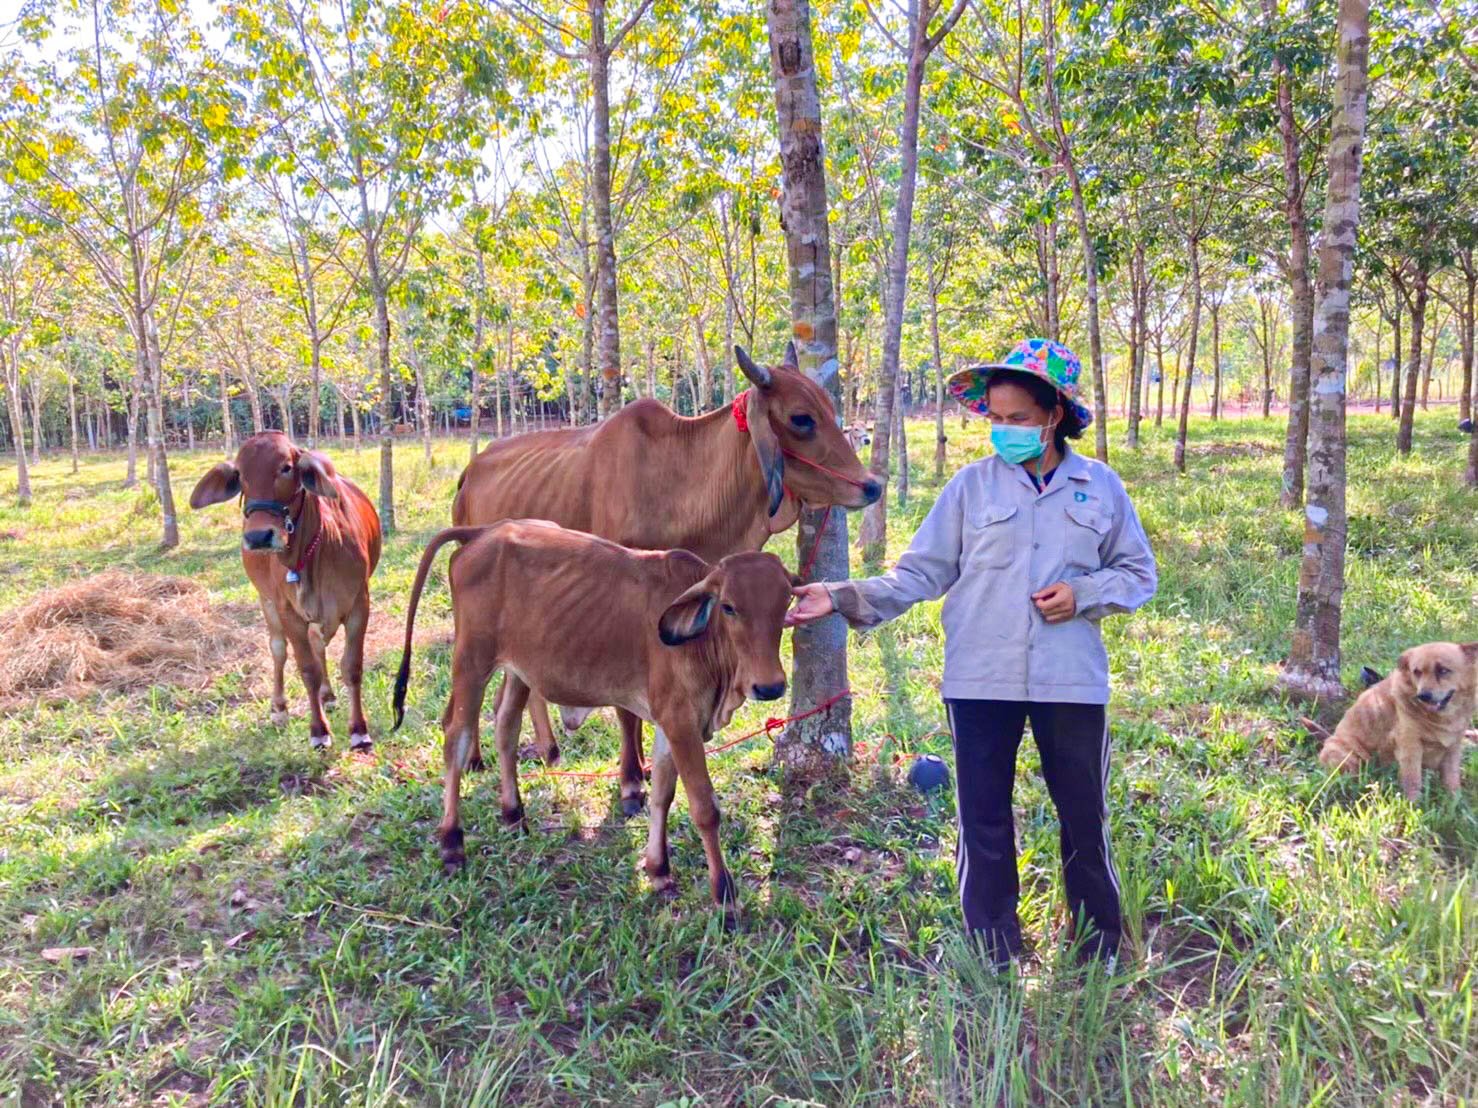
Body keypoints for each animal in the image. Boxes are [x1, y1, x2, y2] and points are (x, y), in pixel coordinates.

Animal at [190, 434, 384, 756]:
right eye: (240, 474)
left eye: (286, 467)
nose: (258, 536)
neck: (310, 553)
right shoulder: (288, 612)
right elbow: (307, 669)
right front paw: (319, 732)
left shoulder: (359, 604)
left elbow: (352, 667)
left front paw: (359, 731)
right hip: (266, 603)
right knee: (279, 650)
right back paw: (279, 708)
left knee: (318, 643)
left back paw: (327, 695)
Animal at [387, 520, 792, 921]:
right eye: (729, 607)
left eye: (786, 601)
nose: (770, 686)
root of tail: (484, 531)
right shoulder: (681, 721)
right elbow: (705, 808)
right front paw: (725, 896)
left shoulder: (669, 720)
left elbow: (662, 795)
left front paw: (658, 870)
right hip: (471, 662)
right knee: (456, 738)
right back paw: (452, 842)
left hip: (519, 670)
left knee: (505, 728)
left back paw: (514, 814)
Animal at [452, 342, 874, 809]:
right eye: (802, 418)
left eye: (831, 410)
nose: (871, 485)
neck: (682, 481)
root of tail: (471, 470)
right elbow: (626, 707)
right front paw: (631, 779)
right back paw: (475, 755)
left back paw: (545, 747)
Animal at [1318, 647, 1478, 803]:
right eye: (1417, 672)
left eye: (1443, 670)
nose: (1423, 696)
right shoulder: (1410, 745)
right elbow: (1412, 779)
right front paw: (1414, 804)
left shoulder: (1453, 746)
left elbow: (1452, 779)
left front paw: (1456, 801)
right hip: (1348, 757)